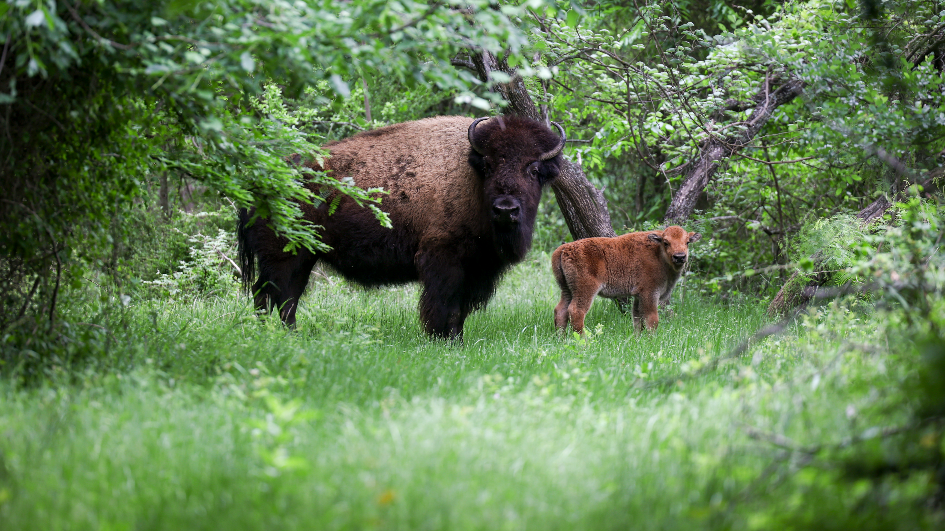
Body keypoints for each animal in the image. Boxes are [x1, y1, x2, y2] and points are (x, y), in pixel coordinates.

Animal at [238, 115, 566, 340]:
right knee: (277, 295)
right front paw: (443, 340)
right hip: (285, 256)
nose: (506, 209)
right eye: (488, 165)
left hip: (301, 258)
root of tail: (257, 181)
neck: (470, 177)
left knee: (278, 295)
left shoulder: (477, 268)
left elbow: (460, 310)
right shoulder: (443, 260)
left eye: (533, 169)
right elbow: (445, 304)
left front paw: (456, 340)